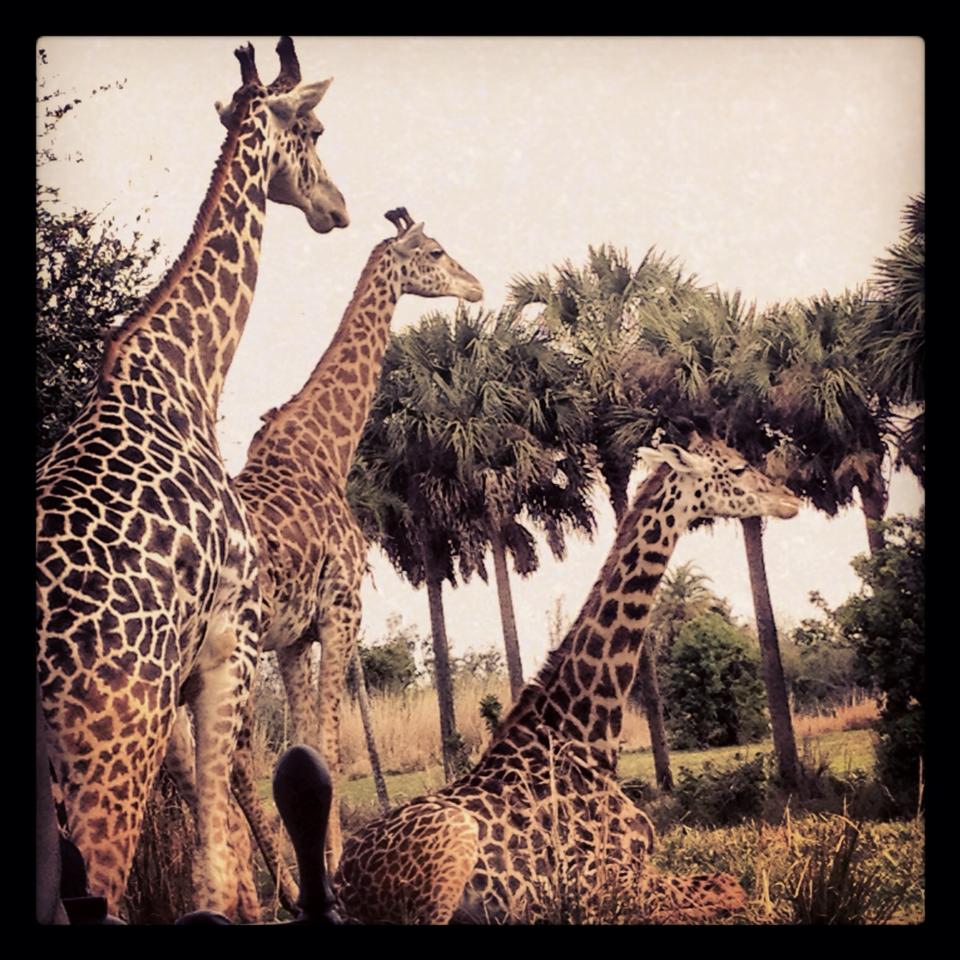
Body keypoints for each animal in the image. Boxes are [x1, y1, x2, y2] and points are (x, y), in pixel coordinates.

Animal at [38, 37, 352, 916]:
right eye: (313, 130)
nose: (338, 207)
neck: (184, 375)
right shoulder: (229, 641)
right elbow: (214, 870)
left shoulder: (190, 680)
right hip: (106, 754)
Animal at [217, 206, 480, 888]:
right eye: (435, 252)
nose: (475, 286)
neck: (324, 451)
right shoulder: (342, 612)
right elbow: (331, 748)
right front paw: (330, 870)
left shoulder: (293, 637)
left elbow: (306, 745)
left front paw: (319, 863)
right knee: (225, 759)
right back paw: (276, 889)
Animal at [332, 428, 804, 924]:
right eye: (736, 467)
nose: (790, 499)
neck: (589, 737)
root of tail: (341, 885)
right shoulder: (596, 886)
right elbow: (725, 893)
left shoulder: (639, 867)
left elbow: (729, 883)